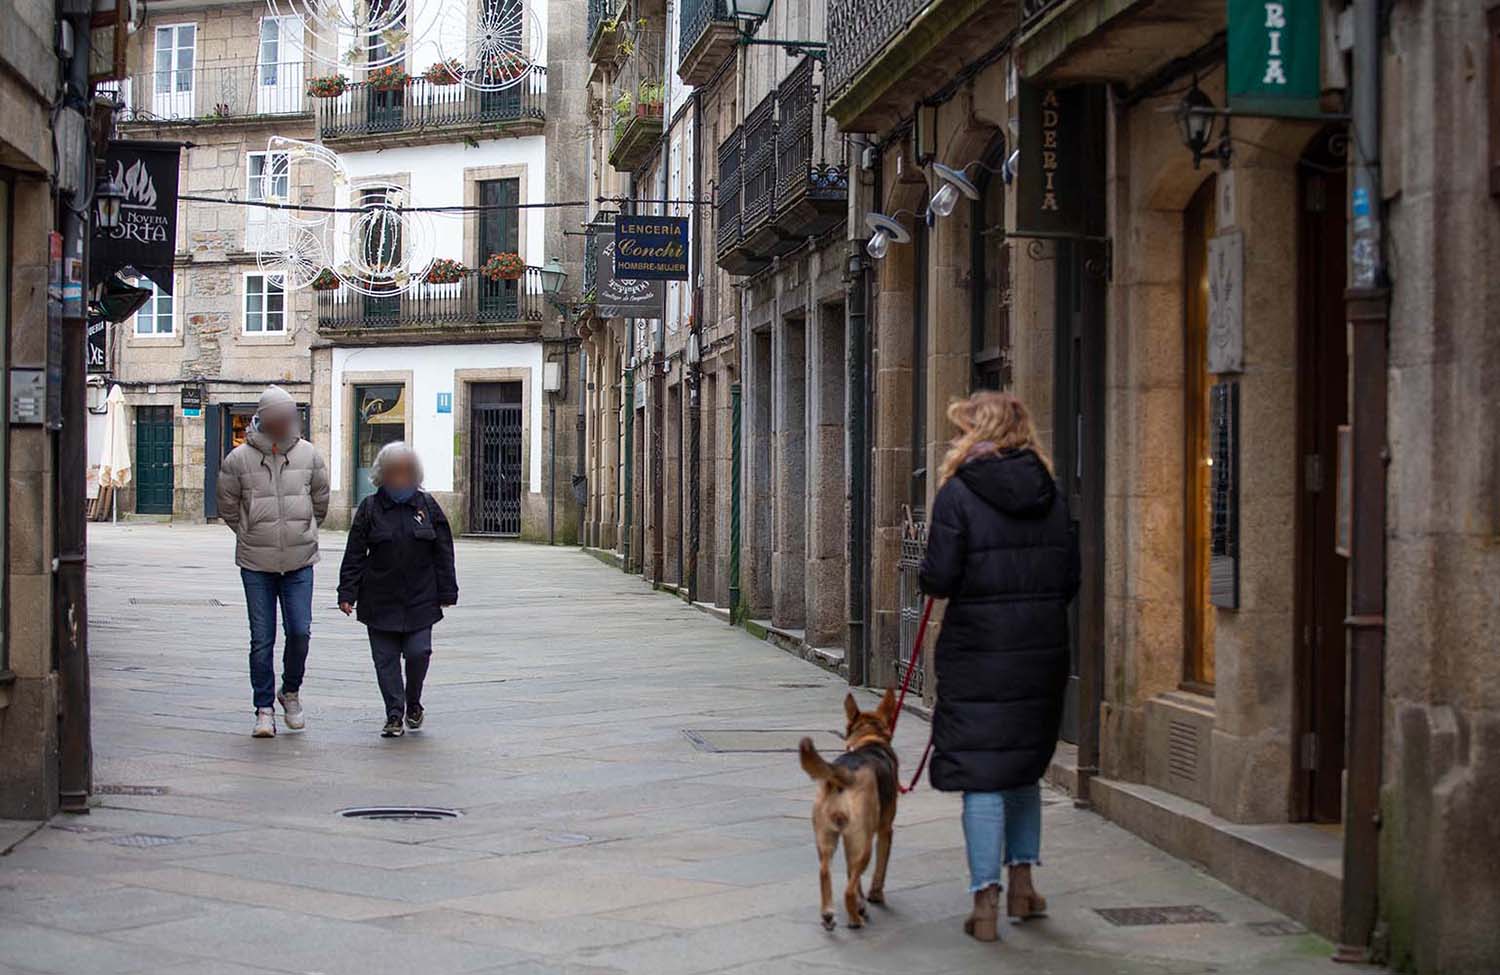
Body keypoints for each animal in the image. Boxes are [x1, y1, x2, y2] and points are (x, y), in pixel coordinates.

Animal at [804, 684, 894, 924]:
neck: (869, 738)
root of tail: (842, 775)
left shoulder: (847, 838)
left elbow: (850, 872)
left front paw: (863, 902)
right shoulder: (885, 829)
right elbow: (880, 868)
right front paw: (874, 896)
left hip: (827, 838)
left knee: (825, 871)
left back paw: (829, 913)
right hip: (864, 843)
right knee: (848, 890)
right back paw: (855, 919)